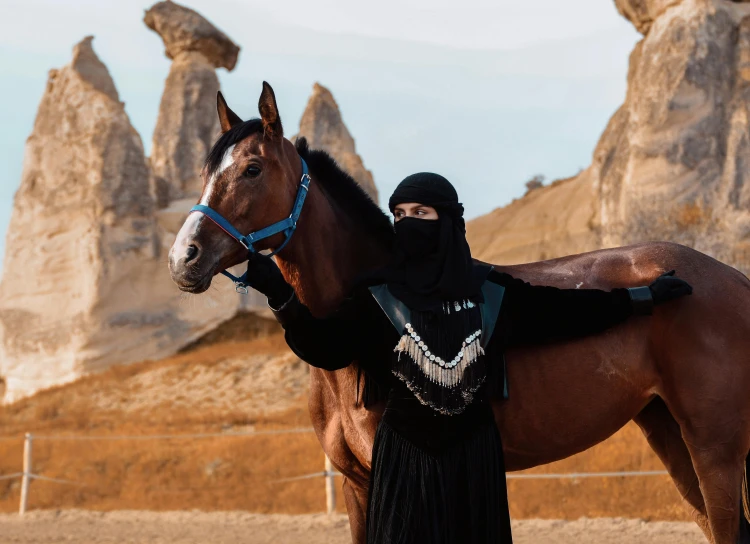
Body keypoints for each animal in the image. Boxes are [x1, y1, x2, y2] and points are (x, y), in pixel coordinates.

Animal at [169, 82, 750, 544]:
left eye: (252, 168)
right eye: (206, 172)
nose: (184, 258)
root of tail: (729, 278)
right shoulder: (357, 486)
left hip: (715, 448)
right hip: (669, 432)